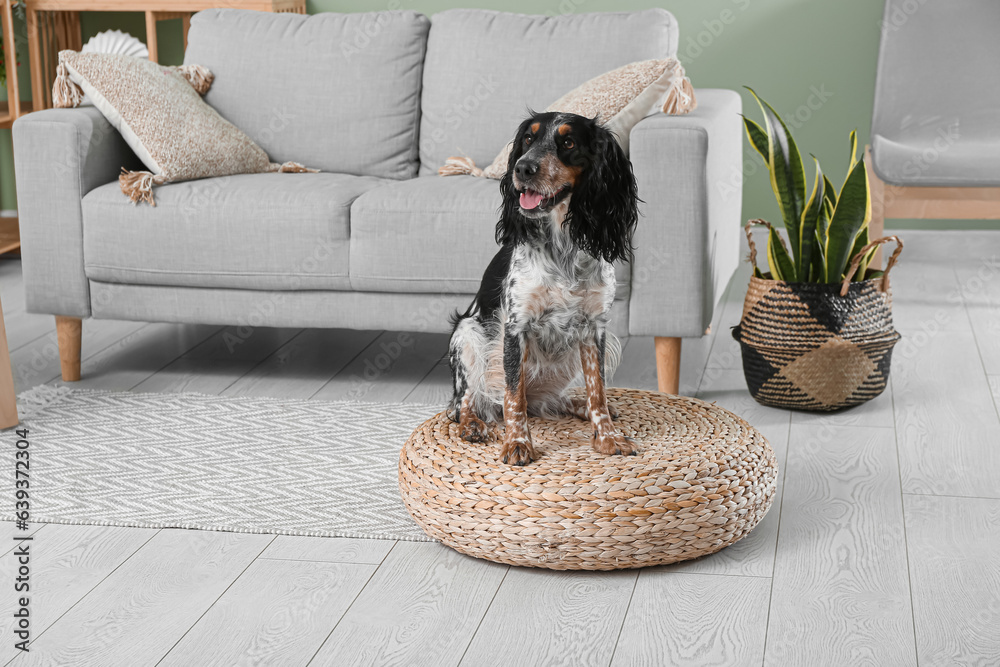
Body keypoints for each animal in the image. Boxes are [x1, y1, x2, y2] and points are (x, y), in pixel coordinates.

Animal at [448, 111, 636, 464]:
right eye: (528, 139)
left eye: (568, 142)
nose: (523, 168)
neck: (562, 247)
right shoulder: (515, 327)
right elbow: (514, 396)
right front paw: (518, 444)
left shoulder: (595, 329)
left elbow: (598, 391)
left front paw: (607, 437)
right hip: (467, 336)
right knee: (465, 401)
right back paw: (472, 425)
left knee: (551, 401)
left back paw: (579, 406)